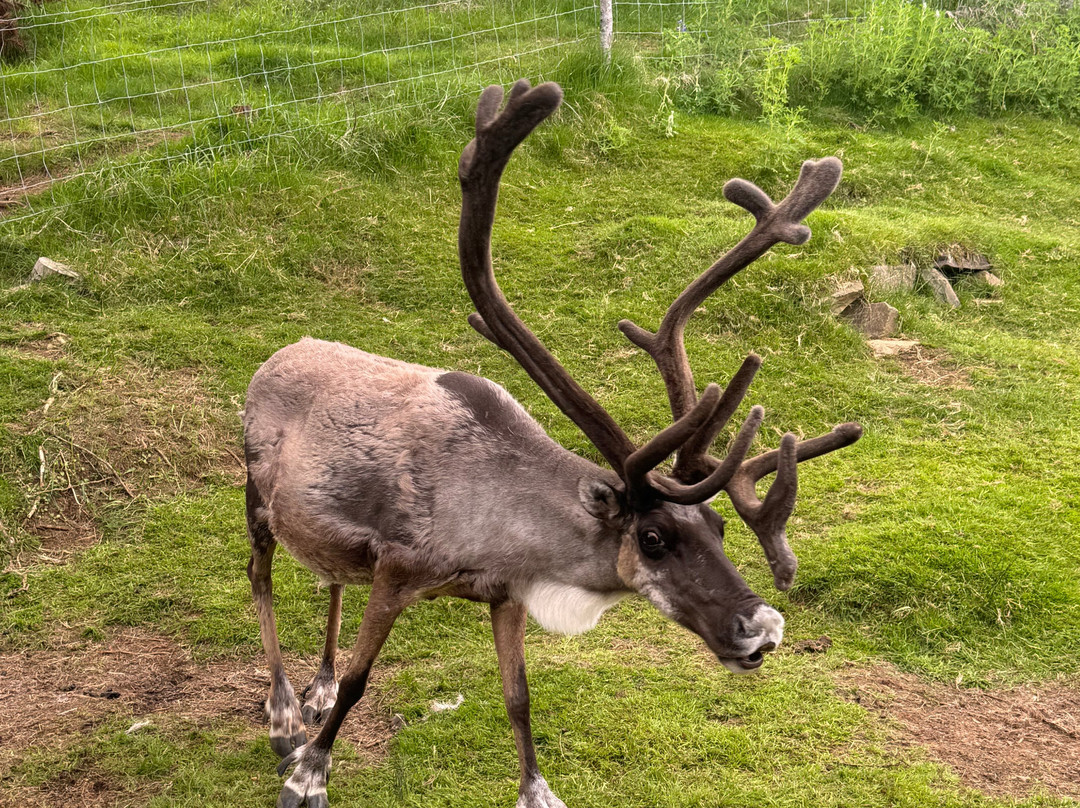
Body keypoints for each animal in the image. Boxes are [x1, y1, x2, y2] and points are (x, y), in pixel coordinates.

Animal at [242, 79, 862, 808]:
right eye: (653, 537)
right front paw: (308, 772)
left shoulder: (505, 594)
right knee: (260, 576)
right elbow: (366, 680)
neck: (500, 523)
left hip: (325, 533)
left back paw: (317, 686)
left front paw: (538, 791)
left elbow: (519, 698)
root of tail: (279, 355)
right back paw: (285, 713)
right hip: (255, 495)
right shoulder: (396, 569)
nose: (763, 627)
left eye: (719, 526)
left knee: (331, 579)